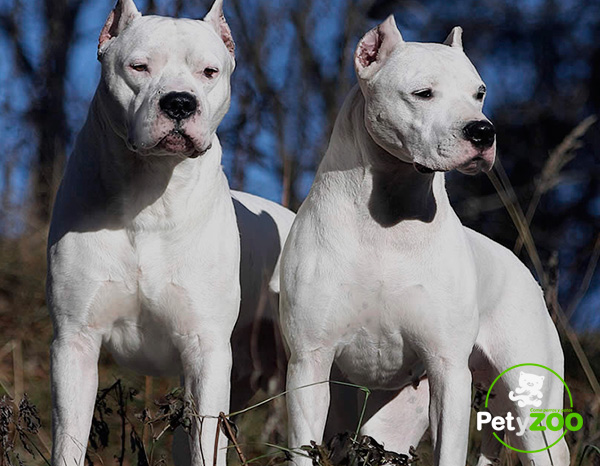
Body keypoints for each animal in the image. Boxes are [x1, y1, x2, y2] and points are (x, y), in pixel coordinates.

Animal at [45, 0, 292, 466]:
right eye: (139, 66)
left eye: (209, 71)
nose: (179, 102)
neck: (151, 199)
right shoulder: (75, 343)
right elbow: (69, 439)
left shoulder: (206, 350)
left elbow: (206, 445)